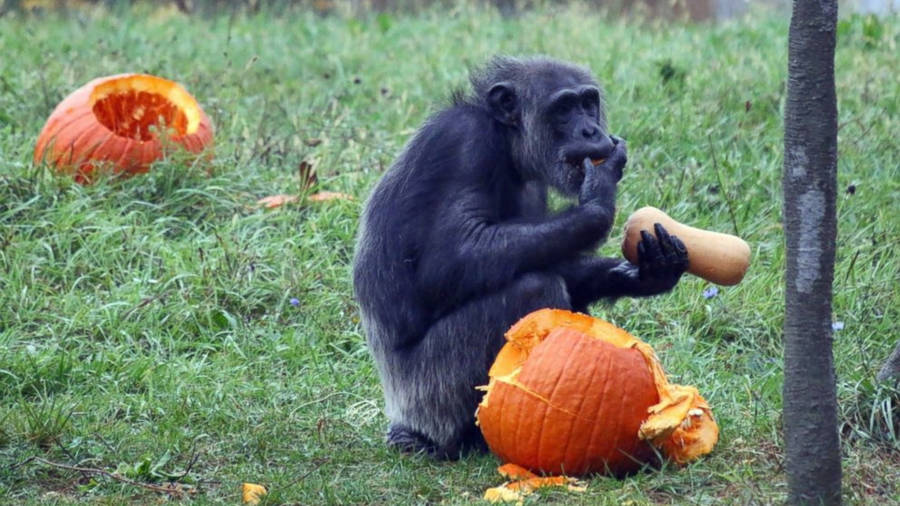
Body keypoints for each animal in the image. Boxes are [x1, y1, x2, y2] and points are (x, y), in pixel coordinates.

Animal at [354, 55, 688, 458]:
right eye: (564, 108)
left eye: (587, 102)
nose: (590, 129)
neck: (508, 145)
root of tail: (400, 415)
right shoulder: (464, 144)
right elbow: (448, 257)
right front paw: (600, 191)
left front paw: (648, 270)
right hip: (430, 395)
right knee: (531, 288)